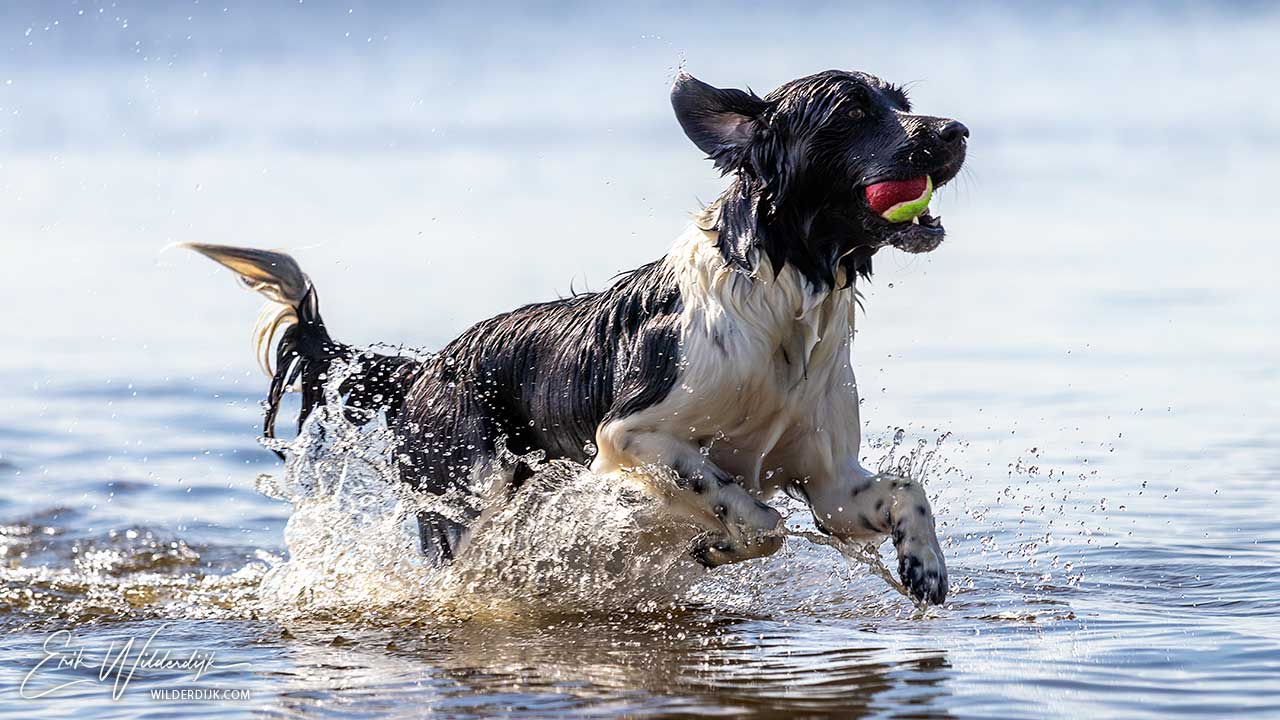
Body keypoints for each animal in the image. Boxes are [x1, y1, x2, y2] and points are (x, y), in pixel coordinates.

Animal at [183, 70, 967, 602]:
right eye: (852, 111)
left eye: (901, 101)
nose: (955, 131)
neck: (780, 305)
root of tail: (428, 368)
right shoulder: (630, 436)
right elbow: (748, 510)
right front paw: (725, 537)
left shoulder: (830, 483)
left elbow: (905, 489)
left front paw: (924, 566)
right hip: (465, 498)